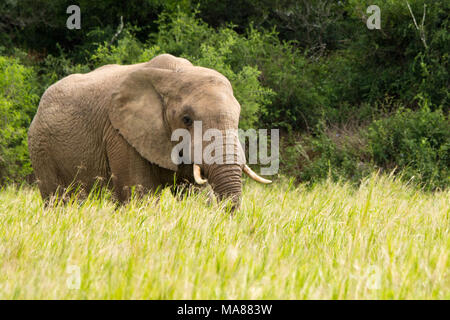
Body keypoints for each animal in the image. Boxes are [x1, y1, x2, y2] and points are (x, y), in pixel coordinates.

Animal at [28, 53, 270, 210]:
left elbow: (193, 194)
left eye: (237, 118)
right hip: (41, 148)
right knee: (58, 199)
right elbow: (139, 195)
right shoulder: (121, 134)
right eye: (187, 119)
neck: (175, 74)